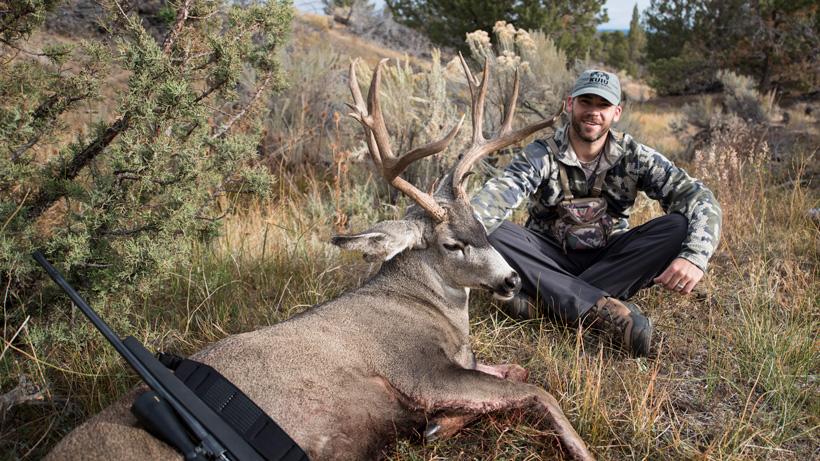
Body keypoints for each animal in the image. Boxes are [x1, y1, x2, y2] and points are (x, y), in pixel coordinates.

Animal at [45, 56, 593, 461]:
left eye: (483, 226)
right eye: (451, 244)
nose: (510, 281)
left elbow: (517, 372)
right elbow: (538, 390)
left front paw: (438, 426)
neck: (428, 309)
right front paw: (579, 450)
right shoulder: (416, 370)